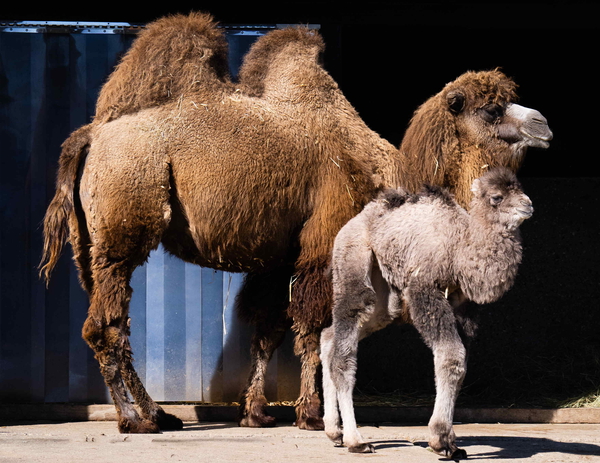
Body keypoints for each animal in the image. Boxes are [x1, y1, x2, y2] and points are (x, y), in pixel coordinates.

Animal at [322, 168, 532, 460]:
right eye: (497, 197)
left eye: (521, 190)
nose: (528, 205)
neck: (459, 248)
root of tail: (352, 222)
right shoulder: (424, 290)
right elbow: (451, 357)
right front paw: (440, 440)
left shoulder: (463, 307)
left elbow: (460, 364)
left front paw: (452, 443)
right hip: (353, 258)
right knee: (344, 349)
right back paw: (357, 440)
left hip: (386, 297)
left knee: (330, 336)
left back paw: (334, 432)